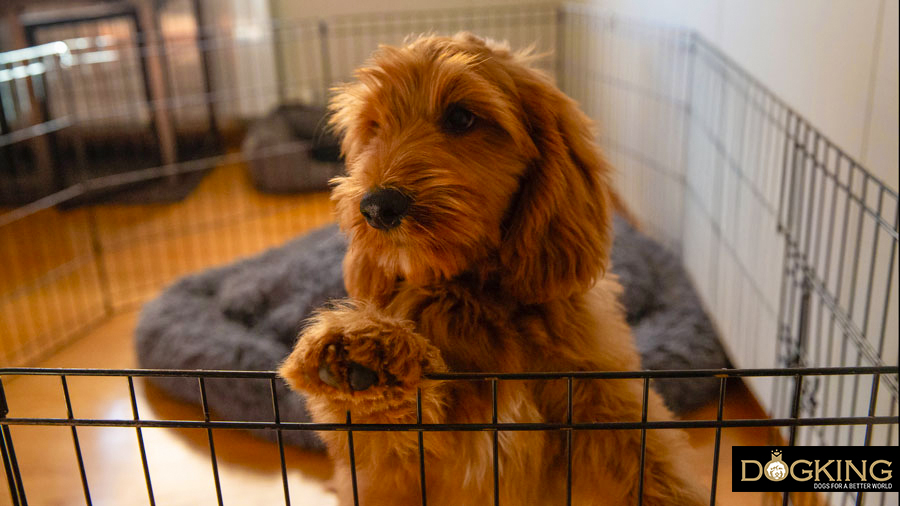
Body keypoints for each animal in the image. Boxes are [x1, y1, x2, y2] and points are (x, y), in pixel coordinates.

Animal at [282, 33, 712, 504]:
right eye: (373, 127)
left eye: (461, 116)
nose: (377, 207)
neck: (478, 297)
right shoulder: (397, 475)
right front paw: (363, 355)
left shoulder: (609, 404)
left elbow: (654, 470)